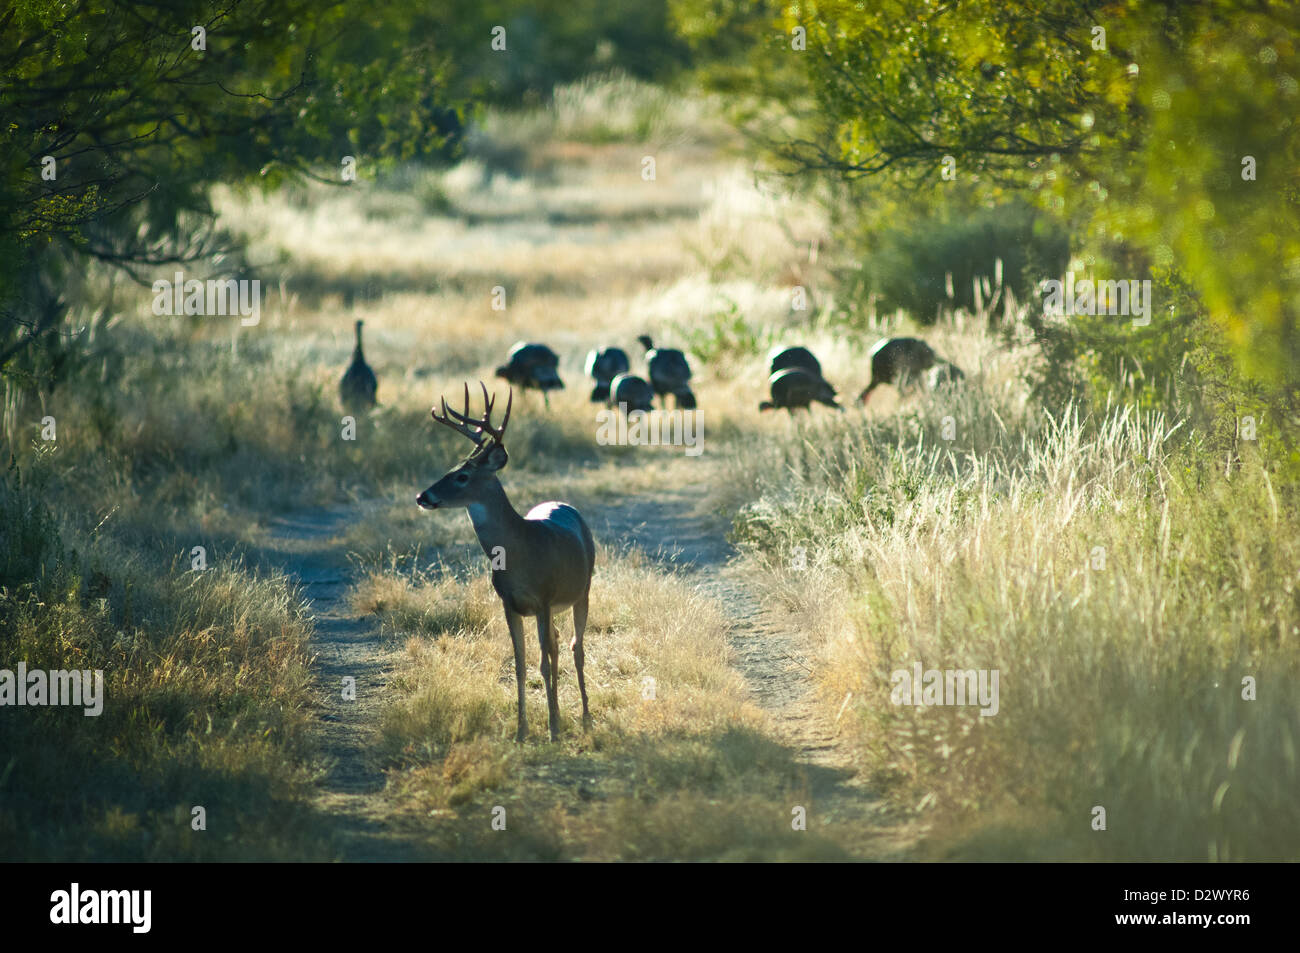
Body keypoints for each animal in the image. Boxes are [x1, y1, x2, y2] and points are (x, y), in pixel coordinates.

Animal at [418, 382, 595, 738]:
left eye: (462, 476)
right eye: (449, 469)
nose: (422, 496)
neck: (518, 553)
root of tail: (566, 505)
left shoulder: (543, 598)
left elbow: (542, 662)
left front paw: (552, 730)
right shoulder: (509, 603)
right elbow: (521, 664)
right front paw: (522, 731)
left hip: (583, 590)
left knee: (575, 647)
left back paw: (585, 717)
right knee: (557, 643)